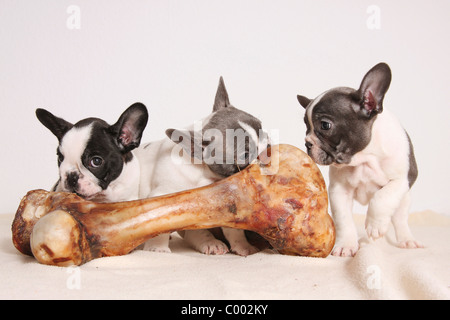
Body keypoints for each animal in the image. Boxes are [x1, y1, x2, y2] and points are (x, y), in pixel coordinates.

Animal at [137, 77, 268, 255]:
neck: (205, 174)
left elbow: (234, 230)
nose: (267, 149)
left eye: (261, 128)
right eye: (245, 154)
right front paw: (158, 248)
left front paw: (243, 246)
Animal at [298, 63, 422, 258]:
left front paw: (375, 225)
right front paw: (346, 245)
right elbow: (344, 220)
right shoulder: (339, 191)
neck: (363, 159)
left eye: (325, 125)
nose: (307, 143)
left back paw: (406, 240)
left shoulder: (403, 179)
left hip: (404, 199)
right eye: (306, 126)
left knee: (400, 219)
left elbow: (382, 197)